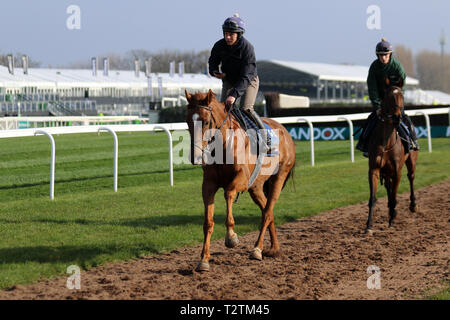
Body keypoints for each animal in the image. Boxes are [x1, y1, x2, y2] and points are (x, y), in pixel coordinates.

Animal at [184, 89, 296, 272]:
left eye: (206, 122)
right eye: (188, 122)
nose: (195, 157)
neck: (223, 146)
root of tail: (285, 131)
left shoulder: (241, 180)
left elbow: (229, 194)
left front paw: (231, 237)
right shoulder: (208, 185)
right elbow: (208, 222)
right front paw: (204, 260)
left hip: (278, 177)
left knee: (266, 213)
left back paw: (257, 249)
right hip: (256, 187)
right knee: (268, 211)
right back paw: (274, 249)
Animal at [366, 79, 418, 234]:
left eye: (402, 96)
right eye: (389, 97)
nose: (397, 117)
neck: (386, 142)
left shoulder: (397, 171)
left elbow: (395, 195)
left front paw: (392, 220)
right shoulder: (375, 169)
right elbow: (373, 198)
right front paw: (369, 226)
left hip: (411, 161)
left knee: (411, 177)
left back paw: (412, 205)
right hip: (386, 171)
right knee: (388, 186)